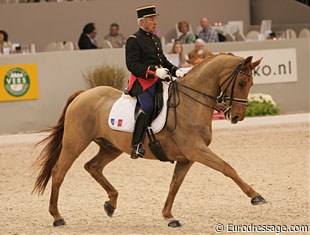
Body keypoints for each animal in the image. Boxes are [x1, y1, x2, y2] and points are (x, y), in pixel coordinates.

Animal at [33, 53, 266, 228]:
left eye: (251, 83)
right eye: (242, 82)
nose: (237, 117)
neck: (191, 104)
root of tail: (83, 94)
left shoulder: (187, 158)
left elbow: (175, 184)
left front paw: (169, 216)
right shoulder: (196, 150)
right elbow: (227, 168)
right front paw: (255, 196)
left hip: (111, 147)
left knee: (93, 167)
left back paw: (111, 203)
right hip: (75, 143)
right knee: (59, 172)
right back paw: (57, 217)